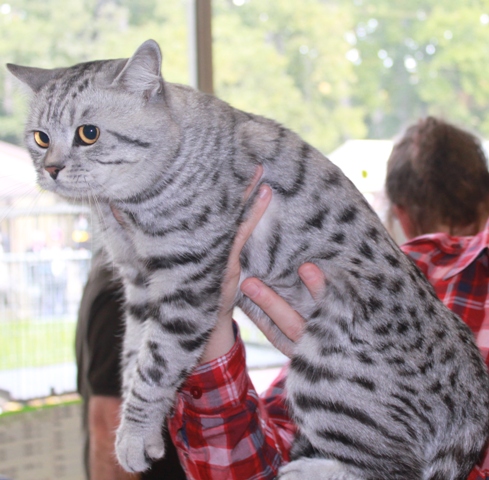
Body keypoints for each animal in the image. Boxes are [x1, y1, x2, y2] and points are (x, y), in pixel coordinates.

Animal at [6, 41, 488, 480]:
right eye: (40, 138)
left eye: (88, 133)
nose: (50, 169)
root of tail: (471, 414)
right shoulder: (139, 283)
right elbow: (132, 356)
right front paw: (135, 432)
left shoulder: (185, 279)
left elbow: (156, 363)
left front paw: (136, 432)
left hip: (324, 367)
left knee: (395, 469)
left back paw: (306, 470)